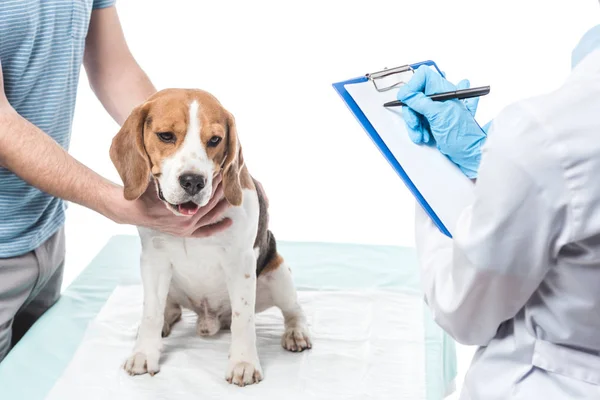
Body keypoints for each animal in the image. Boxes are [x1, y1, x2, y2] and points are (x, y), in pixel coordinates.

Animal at [109, 89, 312, 386]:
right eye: (166, 136)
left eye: (215, 140)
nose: (193, 181)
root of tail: (210, 320)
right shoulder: (154, 260)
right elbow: (151, 313)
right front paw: (145, 353)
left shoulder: (240, 264)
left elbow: (243, 318)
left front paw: (243, 363)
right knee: (170, 309)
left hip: (278, 273)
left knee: (293, 310)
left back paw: (296, 333)